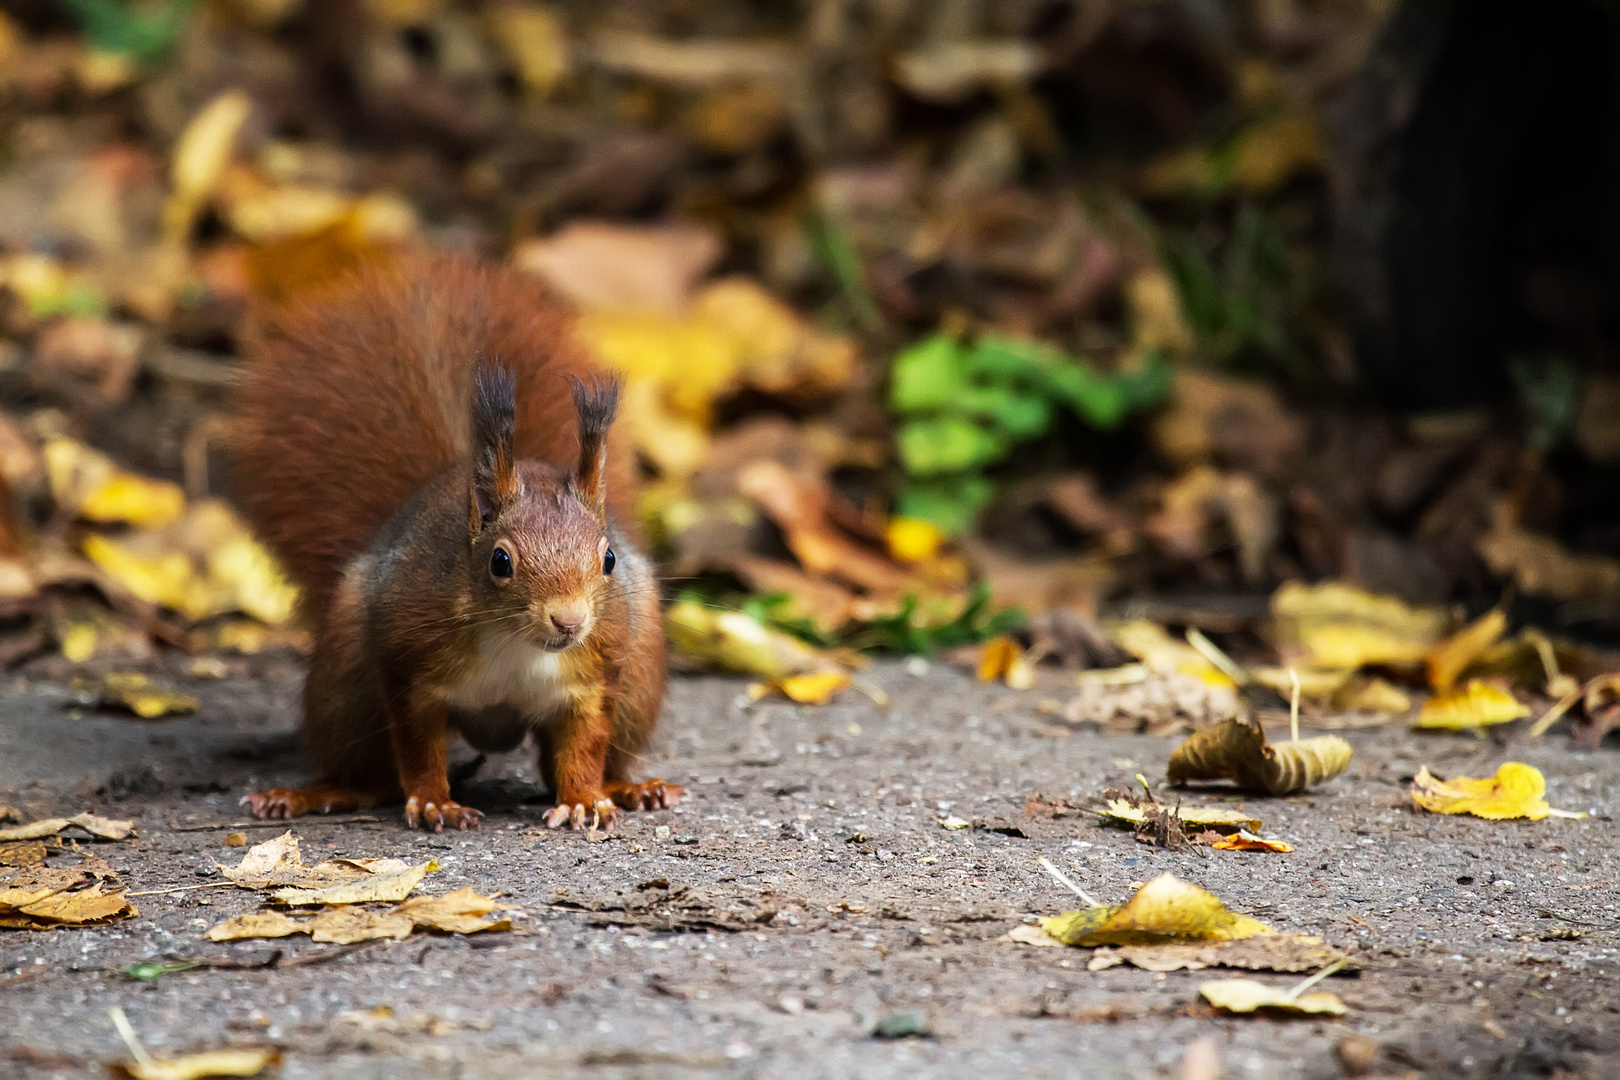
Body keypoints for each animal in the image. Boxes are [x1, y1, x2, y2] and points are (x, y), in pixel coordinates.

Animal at [233, 254, 677, 835]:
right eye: (500, 561)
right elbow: (418, 744)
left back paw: (630, 787)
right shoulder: (408, 663)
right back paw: (312, 793)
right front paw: (434, 802)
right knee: (369, 774)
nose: (570, 622)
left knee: (591, 755)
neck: (515, 642)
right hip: (345, 679)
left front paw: (584, 799)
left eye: (608, 559)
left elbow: (584, 746)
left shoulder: (595, 677)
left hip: (638, 677)